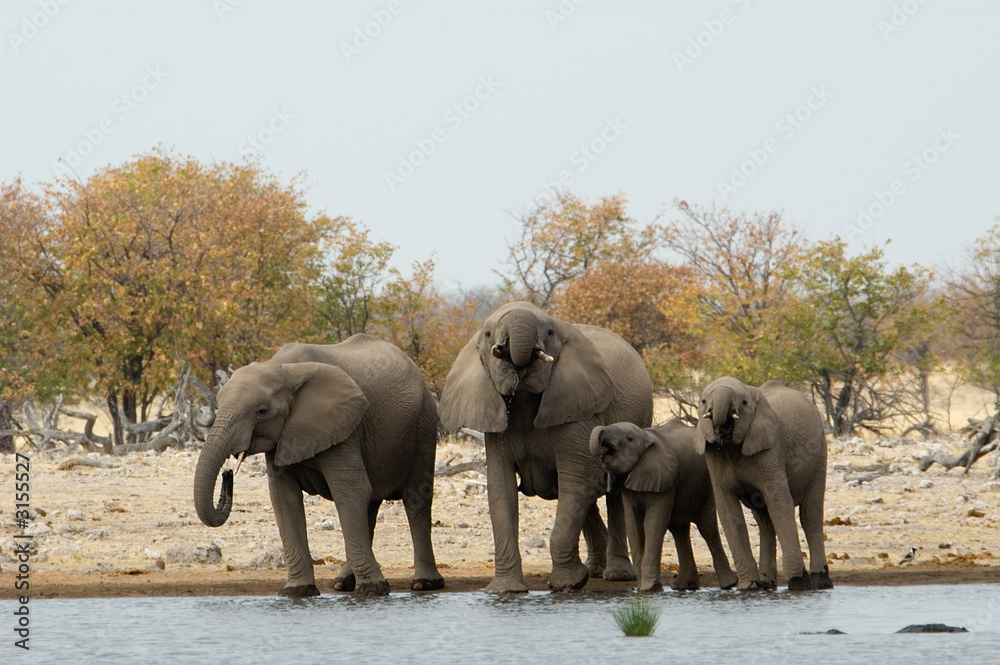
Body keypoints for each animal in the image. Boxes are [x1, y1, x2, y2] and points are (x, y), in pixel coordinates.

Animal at [193, 334, 444, 598]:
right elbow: (284, 499)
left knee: (415, 500)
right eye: (217, 407)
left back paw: (424, 584)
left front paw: (373, 590)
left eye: (262, 411)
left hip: (423, 424)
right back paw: (342, 583)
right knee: (370, 505)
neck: (281, 368)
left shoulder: (342, 427)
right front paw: (297, 591)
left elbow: (350, 490)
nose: (228, 472)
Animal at [439, 301, 653, 593]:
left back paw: (616, 575)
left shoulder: (577, 404)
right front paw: (506, 590)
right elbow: (501, 489)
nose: (505, 351)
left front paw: (567, 584)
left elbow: (576, 481)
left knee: (611, 493)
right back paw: (595, 570)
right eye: (487, 333)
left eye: (550, 331)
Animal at [590, 420, 738, 592]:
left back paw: (728, 584)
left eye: (629, 438)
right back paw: (683, 586)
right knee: (679, 530)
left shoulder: (664, 479)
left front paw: (650, 588)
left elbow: (653, 525)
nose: (604, 452)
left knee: (707, 527)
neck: (646, 436)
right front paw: (642, 590)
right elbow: (634, 526)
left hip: (707, 484)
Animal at [694, 376, 832, 591]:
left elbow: (780, 504)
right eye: (702, 402)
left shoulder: (771, 452)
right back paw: (767, 584)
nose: (722, 428)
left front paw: (800, 584)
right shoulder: (714, 458)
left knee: (810, 515)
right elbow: (728, 512)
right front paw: (749, 586)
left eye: (743, 403)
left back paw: (821, 582)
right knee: (765, 522)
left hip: (819, 457)